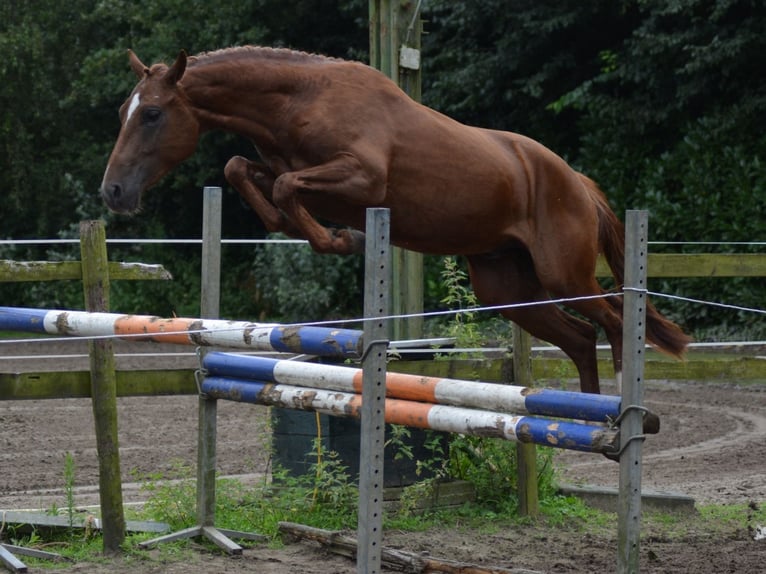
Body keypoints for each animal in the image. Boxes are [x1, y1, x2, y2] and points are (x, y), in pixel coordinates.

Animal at [99, 47, 692, 396]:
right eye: (122, 112)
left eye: (152, 114)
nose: (113, 192)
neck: (298, 100)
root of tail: (577, 182)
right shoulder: (284, 166)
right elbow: (242, 169)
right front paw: (312, 231)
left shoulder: (361, 179)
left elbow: (288, 188)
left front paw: (344, 238)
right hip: (506, 286)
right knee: (579, 338)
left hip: (563, 274)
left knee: (613, 321)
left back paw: (622, 404)